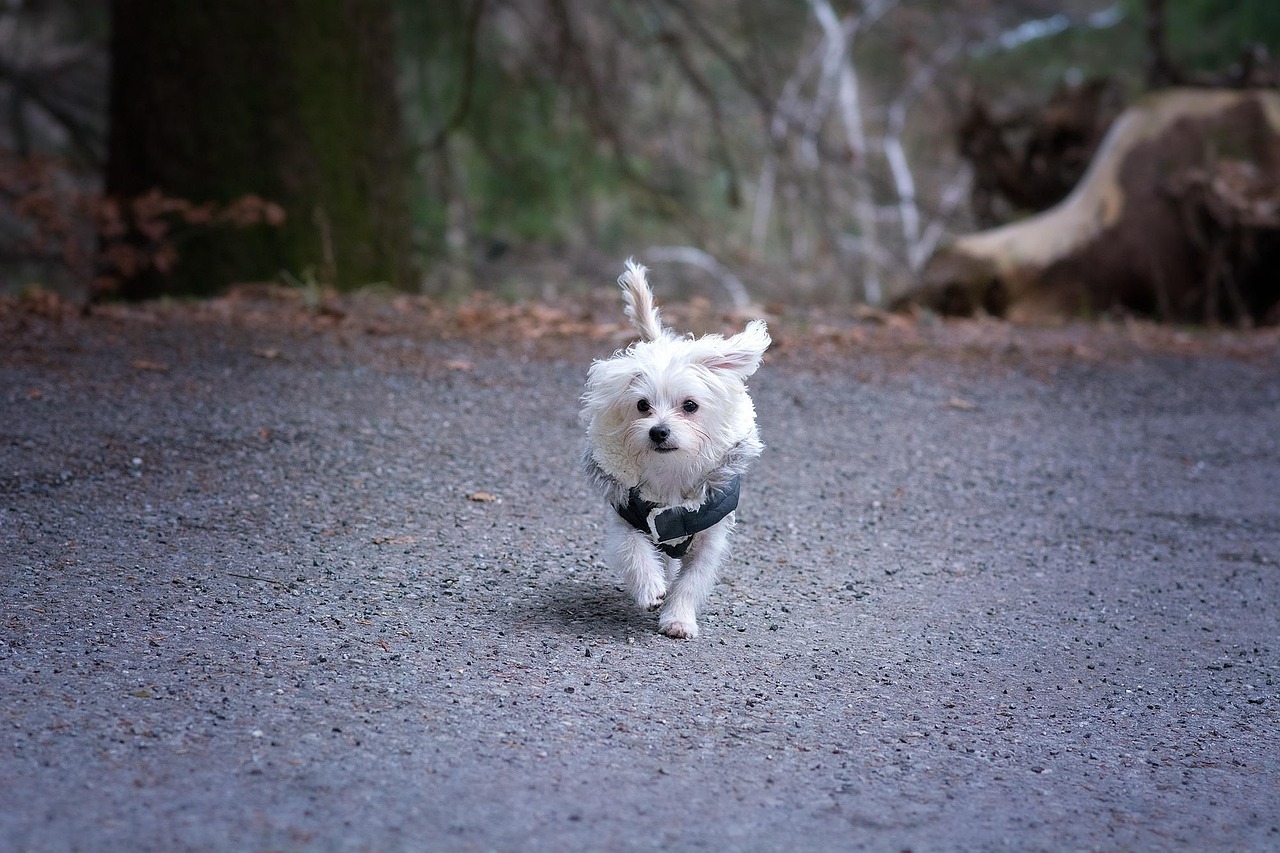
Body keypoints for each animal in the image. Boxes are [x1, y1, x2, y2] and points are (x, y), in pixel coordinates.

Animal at [581, 261, 768, 637]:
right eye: (642, 405)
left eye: (690, 406)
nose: (659, 431)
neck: (670, 474)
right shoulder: (628, 515)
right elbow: (634, 551)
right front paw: (651, 589)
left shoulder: (709, 536)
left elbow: (692, 581)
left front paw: (678, 618)